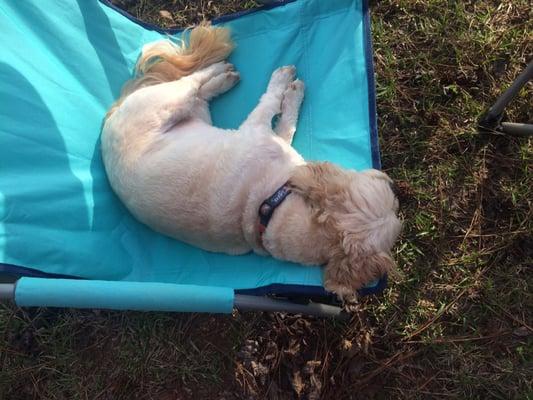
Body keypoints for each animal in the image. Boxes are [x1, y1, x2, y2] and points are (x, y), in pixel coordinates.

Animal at [102, 23, 400, 298]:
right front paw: (287, 85)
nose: (390, 180)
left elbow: (285, 122)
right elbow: (272, 103)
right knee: (192, 82)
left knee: (200, 93)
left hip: (194, 114)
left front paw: (292, 94)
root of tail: (111, 118)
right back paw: (220, 71)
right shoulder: (257, 129)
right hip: (168, 102)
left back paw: (222, 77)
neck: (270, 207)